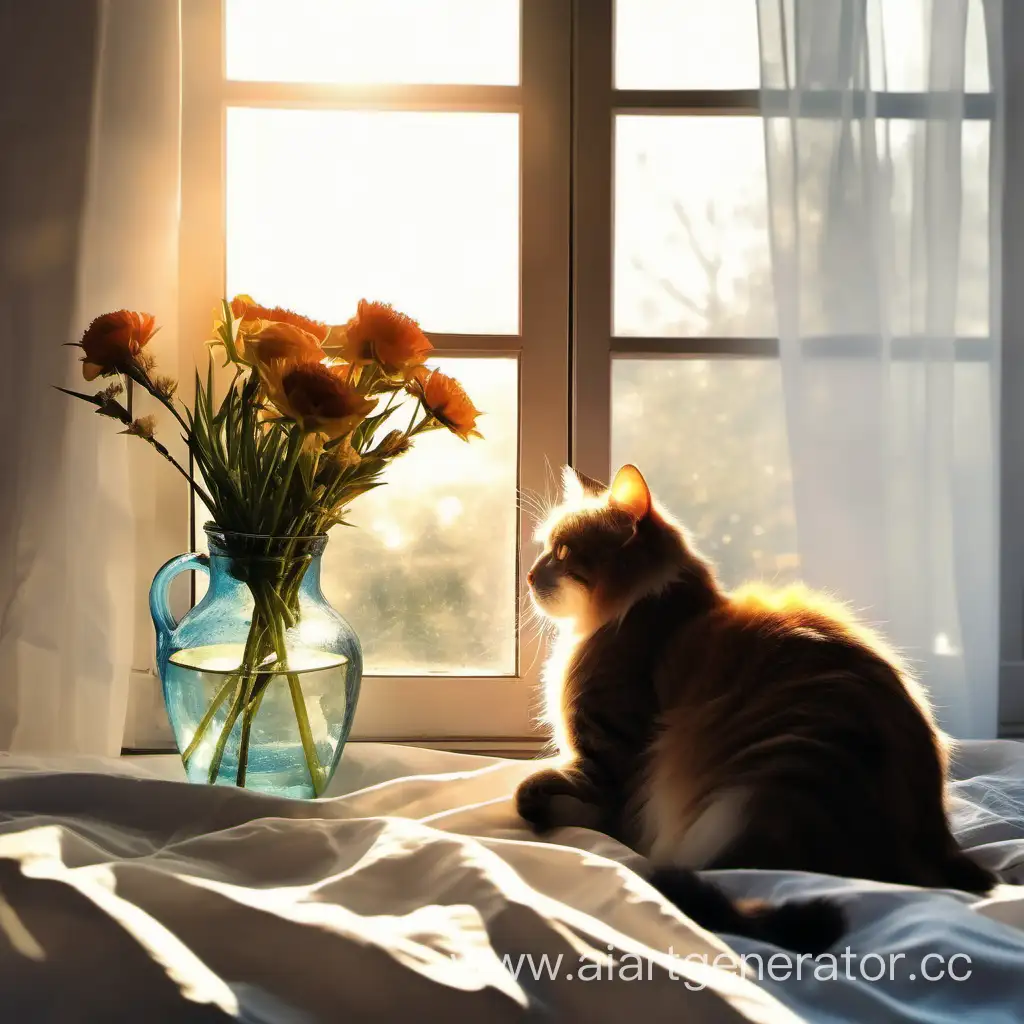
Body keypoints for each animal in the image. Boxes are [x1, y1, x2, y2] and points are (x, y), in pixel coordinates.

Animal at [516, 464, 995, 950]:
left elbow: (552, 798)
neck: (646, 610)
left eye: (561, 551)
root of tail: (935, 852)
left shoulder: (604, 756)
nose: (530, 576)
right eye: (545, 548)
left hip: (761, 785)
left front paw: (542, 807)